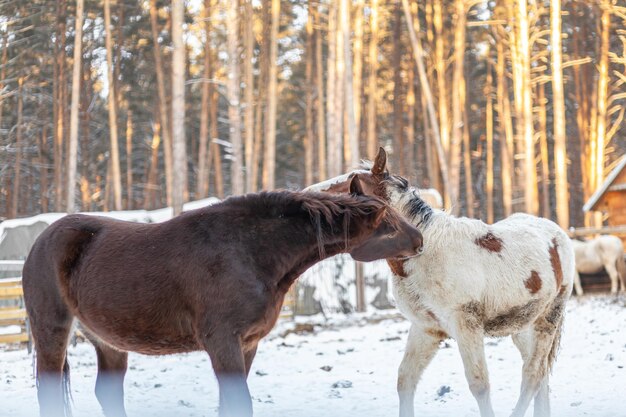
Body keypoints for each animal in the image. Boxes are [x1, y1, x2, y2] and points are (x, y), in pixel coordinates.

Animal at [25, 176, 424, 416]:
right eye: (388, 227)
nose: (420, 240)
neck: (249, 252)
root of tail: (41, 242)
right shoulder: (222, 342)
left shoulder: (248, 344)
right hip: (52, 332)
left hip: (109, 342)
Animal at [304, 148, 572, 416]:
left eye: (348, 184)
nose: (306, 196)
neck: (427, 252)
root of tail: (556, 232)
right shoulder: (426, 328)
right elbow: (405, 380)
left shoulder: (466, 326)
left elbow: (479, 385)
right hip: (522, 326)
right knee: (540, 376)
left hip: (548, 319)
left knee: (532, 375)